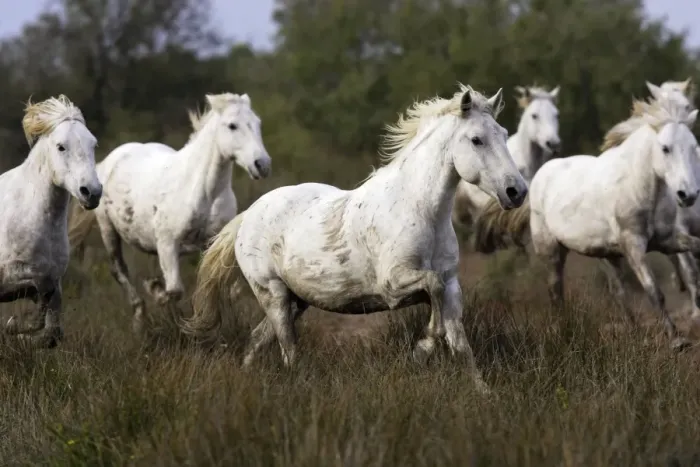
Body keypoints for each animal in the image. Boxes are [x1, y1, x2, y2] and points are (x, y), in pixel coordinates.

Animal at [0, 95, 101, 347]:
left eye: (93, 145)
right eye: (61, 146)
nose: (92, 192)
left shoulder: (54, 281)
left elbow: (52, 334)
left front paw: (17, 332)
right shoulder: (10, 276)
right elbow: (37, 290)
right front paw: (13, 325)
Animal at [67, 93, 271, 335]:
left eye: (258, 123)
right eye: (232, 125)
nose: (262, 164)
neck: (203, 191)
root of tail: (108, 160)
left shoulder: (211, 243)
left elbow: (224, 286)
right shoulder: (167, 243)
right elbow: (174, 290)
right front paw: (156, 291)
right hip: (109, 229)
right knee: (119, 270)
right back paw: (140, 319)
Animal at [181, 83, 528, 393]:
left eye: (504, 135)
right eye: (476, 140)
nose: (517, 191)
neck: (420, 210)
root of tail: (249, 214)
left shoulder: (452, 286)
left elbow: (459, 342)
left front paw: (483, 393)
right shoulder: (394, 286)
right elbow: (433, 294)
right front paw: (422, 348)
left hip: (296, 301)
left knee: (258, 339)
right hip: (273, 294)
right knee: (288, 349)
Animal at [472, 96, 700, 351]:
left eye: (693, 147)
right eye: (665, 148)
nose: (688, 195)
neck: (640, 187)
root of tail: (534, 183)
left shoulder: (667, 240)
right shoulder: (634, 245)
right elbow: (654, 291)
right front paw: (677, 339)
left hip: (607, 254)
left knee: (618, 292)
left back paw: (633, 331)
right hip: (552, 252)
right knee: (556, 292)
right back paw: (564, 330)